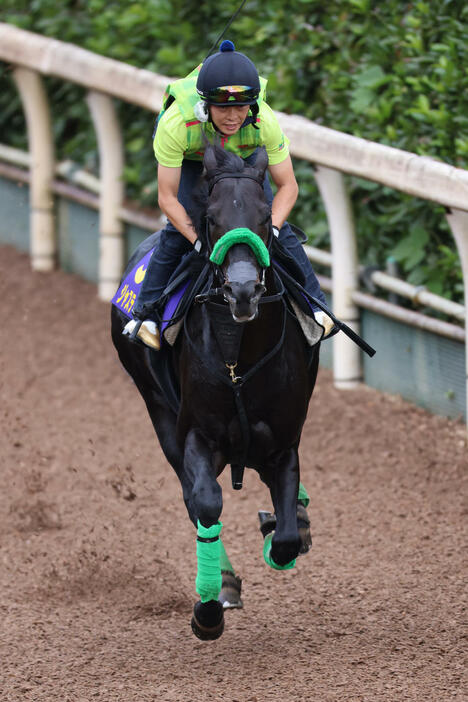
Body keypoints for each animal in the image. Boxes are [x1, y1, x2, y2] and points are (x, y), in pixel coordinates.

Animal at [111, 144, 322, 644]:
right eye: (210, 217)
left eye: (266, 217)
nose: (243, 290)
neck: (237, 359)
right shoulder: (196, 435)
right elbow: (205, 503)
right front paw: (209, 607)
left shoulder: (283, 441)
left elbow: (285, 537)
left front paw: (284, 525)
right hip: (157, 409)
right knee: (192, 499)